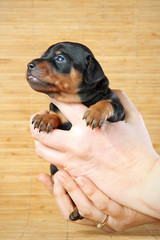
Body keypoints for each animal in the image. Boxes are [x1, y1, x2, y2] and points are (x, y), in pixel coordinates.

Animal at [26, 41, 125, 221]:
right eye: (43, 55)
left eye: (60, 58)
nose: (29, 64)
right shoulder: (57, 109)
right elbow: (55, 113)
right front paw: (46, 118)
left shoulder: (119, 109)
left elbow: (106, 102)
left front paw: (95, 112)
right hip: (54, 170)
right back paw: (75, 210)